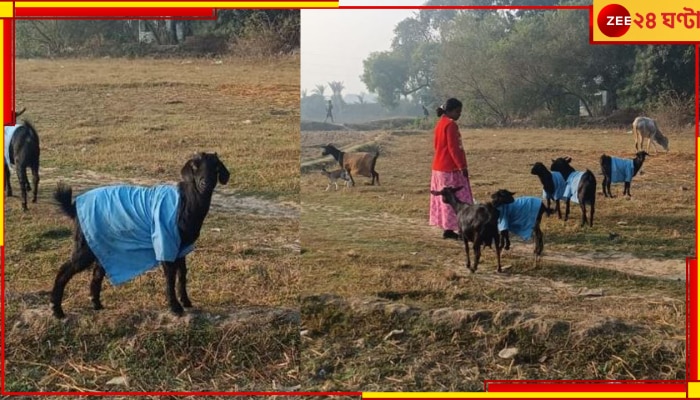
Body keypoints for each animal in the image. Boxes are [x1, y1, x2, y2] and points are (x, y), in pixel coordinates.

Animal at [50, 152, 230, 318]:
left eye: (215, 167)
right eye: (194, 166)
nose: (205, 183)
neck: (184, 203)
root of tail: (74, 207)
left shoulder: (181, 247)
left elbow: (182, 273)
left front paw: (186, 301)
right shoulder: (164, 241)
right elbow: (170, 277)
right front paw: (175, 307)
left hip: (102, 244)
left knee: (96, 273)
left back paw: (96, 304)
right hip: (85, 245)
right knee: (64, 270)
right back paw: (57, 310)